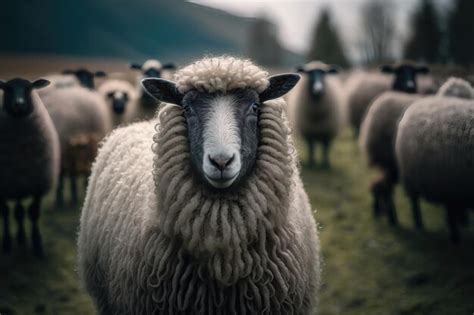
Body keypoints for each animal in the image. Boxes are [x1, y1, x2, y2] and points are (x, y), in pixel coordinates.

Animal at [0, 78, 60, 256]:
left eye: (29, 88)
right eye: (7, 89)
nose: (19, 104)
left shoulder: (37, 185)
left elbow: (33, 213)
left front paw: (37, 243)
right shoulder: (3, 188)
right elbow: (5, 213)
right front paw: (7, 242)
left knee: (20, 212)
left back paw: (21, 237)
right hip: (15, 185)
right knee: (17, 212)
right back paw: (19, 238)